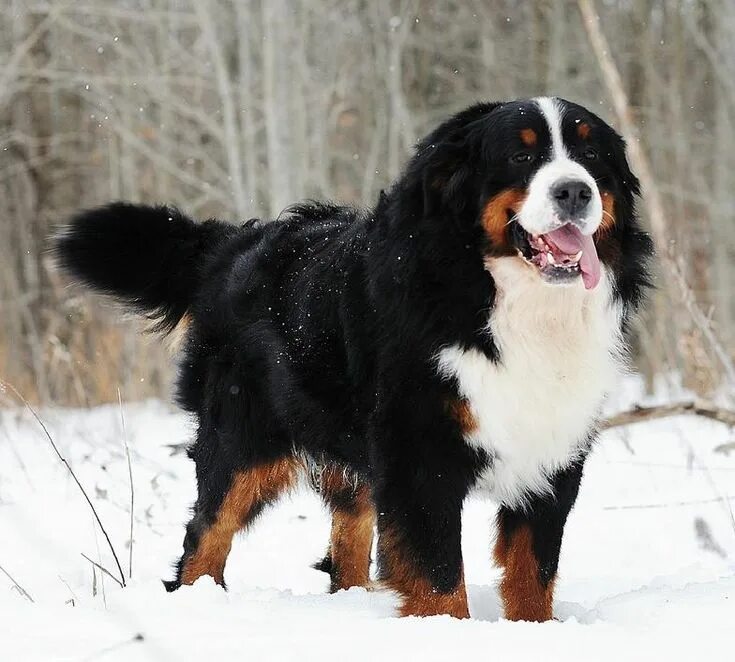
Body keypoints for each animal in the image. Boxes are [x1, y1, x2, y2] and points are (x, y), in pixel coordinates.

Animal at [59, 97, 656, 624]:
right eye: (520, 155)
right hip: (242, 443)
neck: (509, 304)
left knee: (346, 540)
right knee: (205, 536)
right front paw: (448, 634)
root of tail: (232, 244)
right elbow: (439, 577)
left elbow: (534, 573)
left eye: (591, 154)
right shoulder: (420, 456)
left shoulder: (551, 453)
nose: (574, 190)